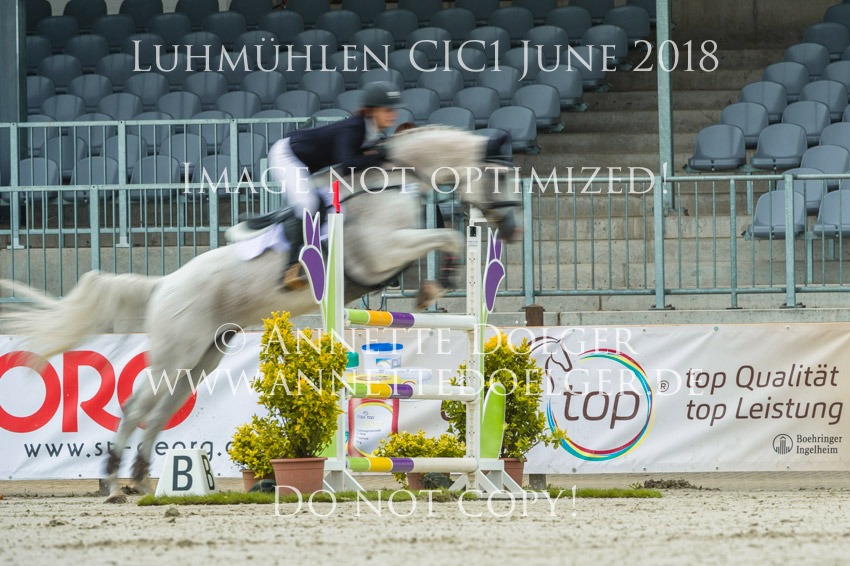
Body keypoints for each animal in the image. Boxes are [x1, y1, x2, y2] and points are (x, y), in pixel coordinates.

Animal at [1, 125, 520, 503]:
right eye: (499, 176)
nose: (512, 230)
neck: (394, 176)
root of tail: (165, 285)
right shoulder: (379, 253)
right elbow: (443, 238)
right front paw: (438, 281)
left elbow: (438, 242)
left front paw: (432, 285)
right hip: (176, 349)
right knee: (135, 407)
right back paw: (111, 482)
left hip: (202, 357)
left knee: (162, 410)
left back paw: (143, 480)